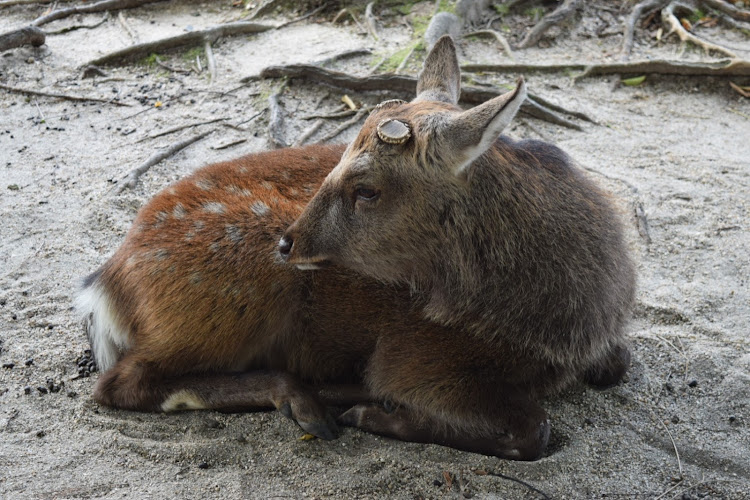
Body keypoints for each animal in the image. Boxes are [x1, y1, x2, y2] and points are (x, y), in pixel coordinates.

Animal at [76, 37, 636, 462]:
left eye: (366, 189)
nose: (289, 241)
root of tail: (107, 284)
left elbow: (618, 364)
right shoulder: (416, 354)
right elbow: (534, 429)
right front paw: (380, 414)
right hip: (235, 291)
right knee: (121, 384)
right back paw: (308, 401)